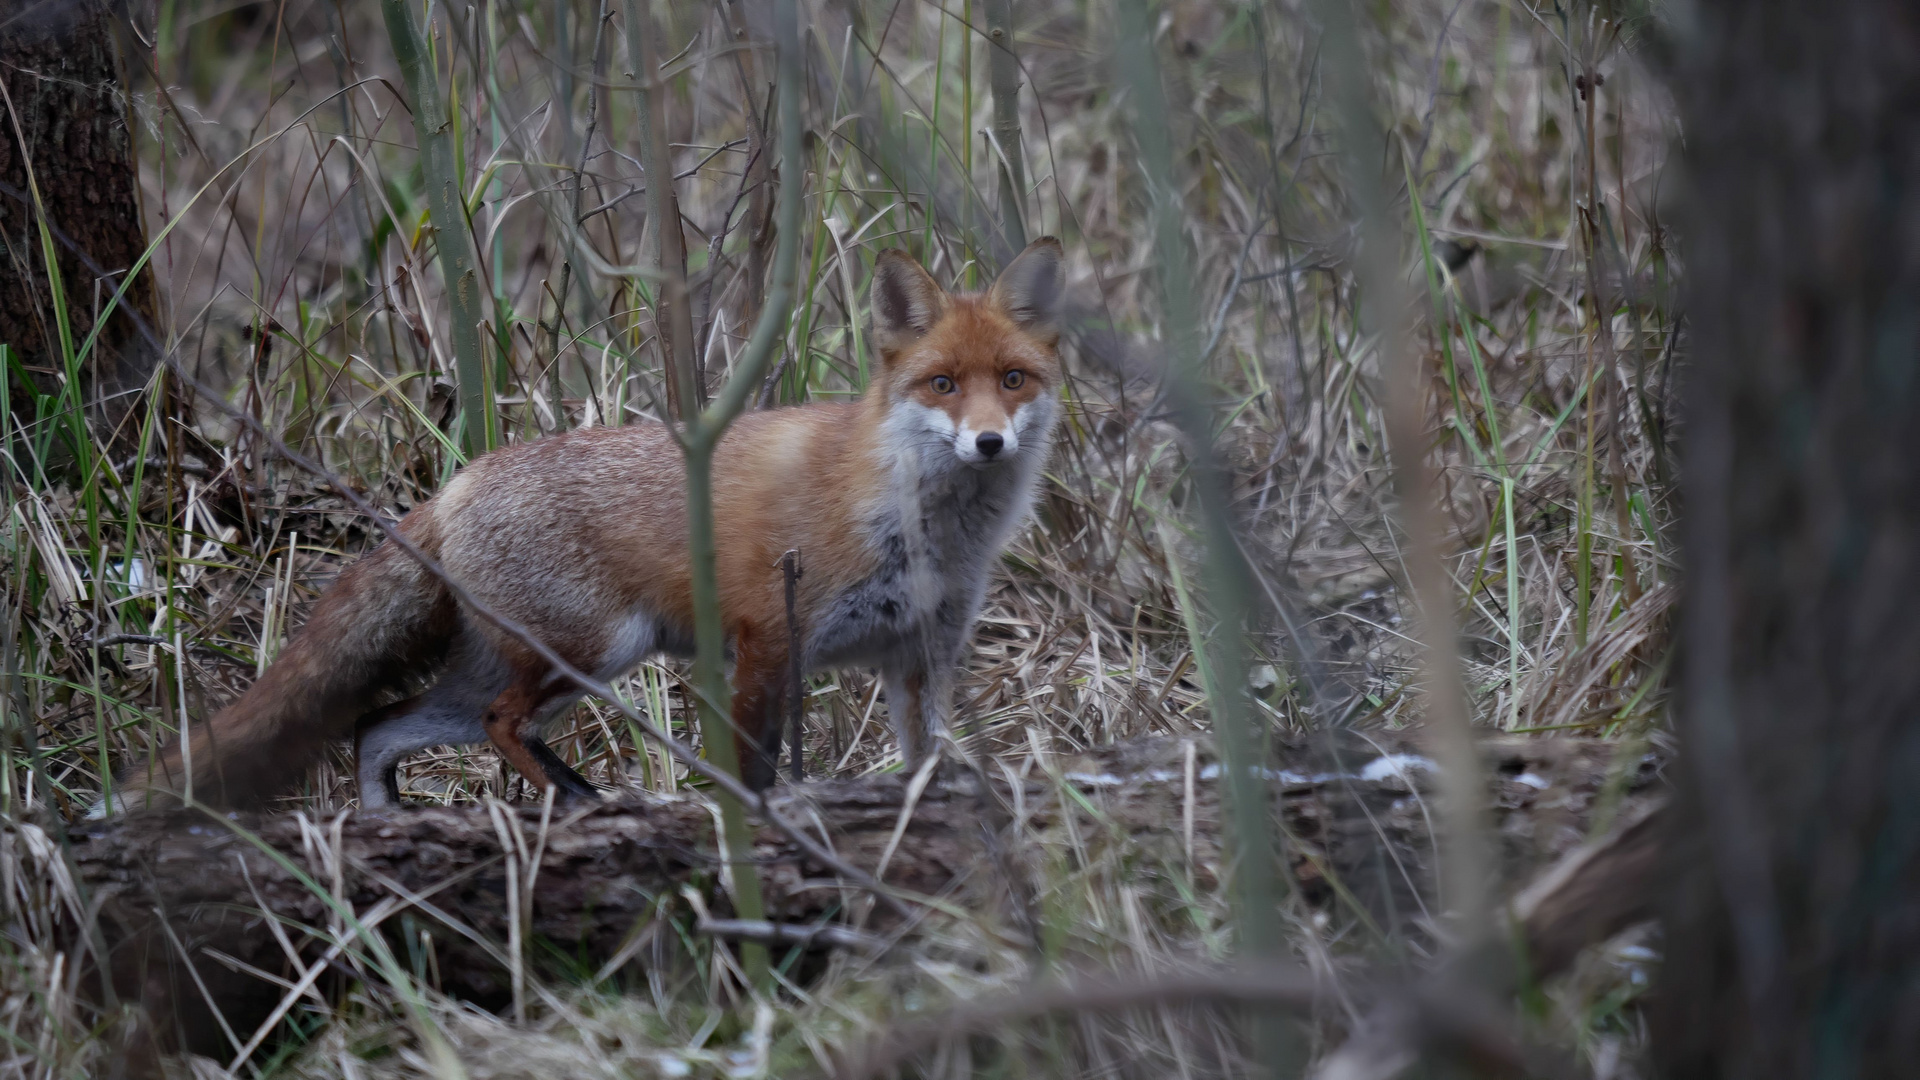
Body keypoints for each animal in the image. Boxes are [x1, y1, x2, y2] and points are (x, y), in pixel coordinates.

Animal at [101, 235, 1067, 807]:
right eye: (943, 384)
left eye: (1013, 379)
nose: (988, 440)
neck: (923, 529)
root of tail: (456, 483)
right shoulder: (766, 639)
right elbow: (750, 767)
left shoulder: (919, 658)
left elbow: (926, 761)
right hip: (589, 652)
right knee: (494, 723)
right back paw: (576, 804)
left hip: (519, 667)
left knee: (378, 727)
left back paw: (390, 831)